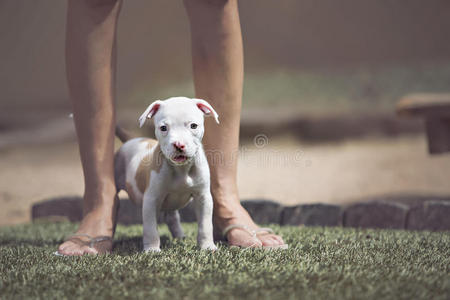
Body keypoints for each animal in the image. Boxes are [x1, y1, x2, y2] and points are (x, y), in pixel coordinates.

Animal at [115, 96, 219, 251]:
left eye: (193, 126)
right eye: (163, 128)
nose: (179, 144)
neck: (181, 169)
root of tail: (132, 140)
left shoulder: (203, 197)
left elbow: (205, 225)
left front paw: (207, 246)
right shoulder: (151, 199)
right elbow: (151, 228)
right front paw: (152, 249)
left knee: (172, 218)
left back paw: (180, 237)